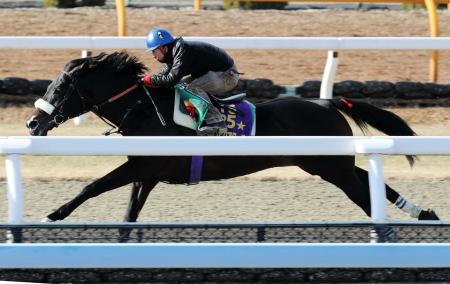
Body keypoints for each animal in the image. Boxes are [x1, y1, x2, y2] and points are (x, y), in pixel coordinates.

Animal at [26, 51, 438, 224]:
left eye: (59, 88)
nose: (32, 123)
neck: (144, 110)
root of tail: (325, 102)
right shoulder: (146, 173)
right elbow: (129, 214)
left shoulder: (143, 165)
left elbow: (92, 186)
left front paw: (54, 214)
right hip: (332, 165)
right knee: (371, 183)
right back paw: (424, 212)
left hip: (331, 168)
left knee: (365, 195)